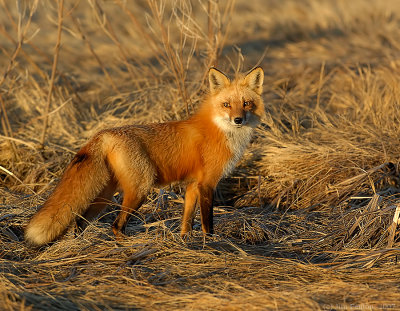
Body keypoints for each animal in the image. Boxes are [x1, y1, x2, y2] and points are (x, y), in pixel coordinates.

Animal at [23, 67, 264, 247]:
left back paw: (79, 246)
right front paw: (211, 245)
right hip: (140, 188)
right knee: (115, 225)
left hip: (105, 194)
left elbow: (186, 221)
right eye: (226, 105)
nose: (238, 120)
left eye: (246, 103)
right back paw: (128, 245)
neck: (219, 131)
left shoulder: (192, 186)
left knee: (80, 222)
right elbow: (207, 223)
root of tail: (104, 133)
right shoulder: (207, 184)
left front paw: (185, 242)